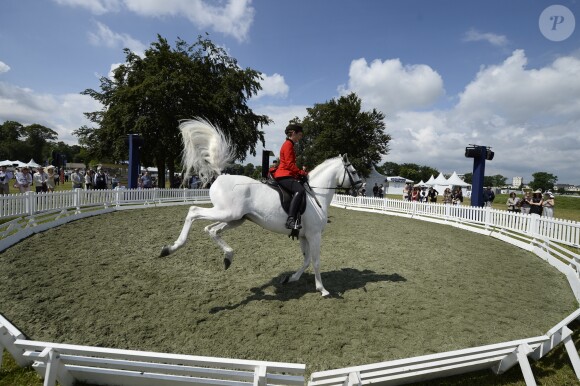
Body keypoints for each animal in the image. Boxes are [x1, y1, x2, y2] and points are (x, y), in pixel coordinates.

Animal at [161, 119, 362, 298]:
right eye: (353, 171)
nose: (361, 188)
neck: (316, 195)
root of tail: (221, 175)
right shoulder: (314, 235)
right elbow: (316, 261)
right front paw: (323, 290)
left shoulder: (304, 235)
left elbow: (306, 261)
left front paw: (291, 278)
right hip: (227, 213)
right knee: (193, 212)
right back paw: (173, 247)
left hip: (235, 219)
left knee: (211, 230)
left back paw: (226, 257)